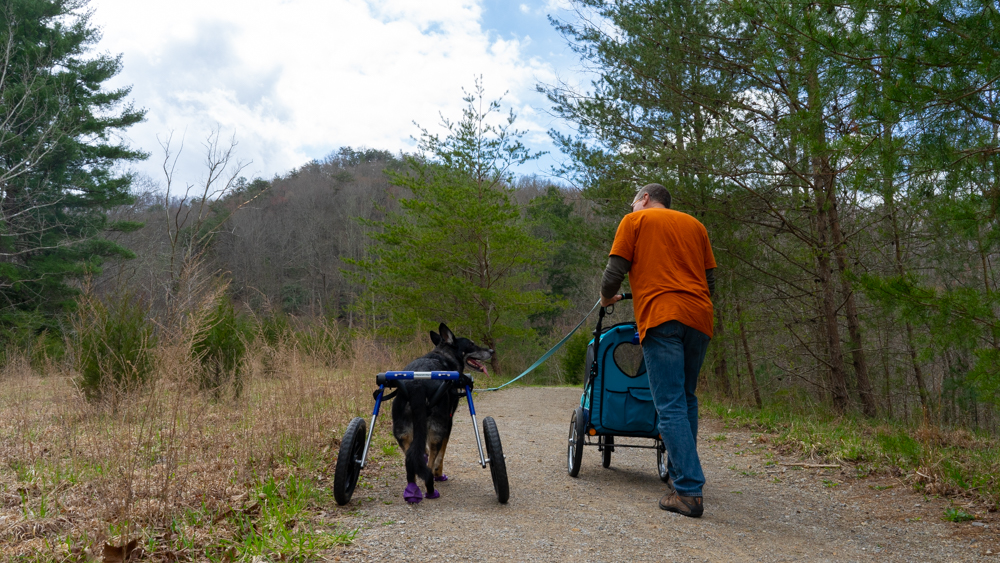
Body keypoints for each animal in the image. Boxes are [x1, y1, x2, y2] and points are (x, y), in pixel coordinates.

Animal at [394, 324, 496, 504]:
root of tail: (417, 384)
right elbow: (441, 454)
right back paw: (430, 488)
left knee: (410, 460)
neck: (444, 354)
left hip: (402, 433)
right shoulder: (448, 422)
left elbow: (424, 451)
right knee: (430, 463)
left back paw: (412, 489)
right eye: (472, 344)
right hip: (438, 427)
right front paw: (439, 474)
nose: (491, 351)